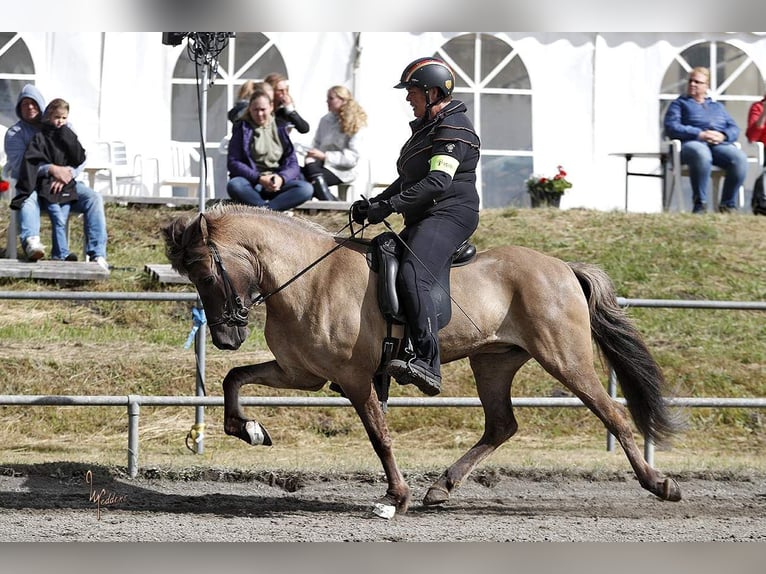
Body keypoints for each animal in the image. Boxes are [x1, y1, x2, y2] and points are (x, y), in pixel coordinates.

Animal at [162, 205, 684, 520]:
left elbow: (380, 437)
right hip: (493, 362)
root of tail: (563, 268)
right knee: (501, 425)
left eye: (205, 272)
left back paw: (660, 484)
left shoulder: (353, 378)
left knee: (611, 413)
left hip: (565, 358)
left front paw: (395, 499)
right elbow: (234, 379)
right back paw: (442, 488)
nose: (226, 336)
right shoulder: (303, 373)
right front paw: (249, 430)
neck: (307, 276)